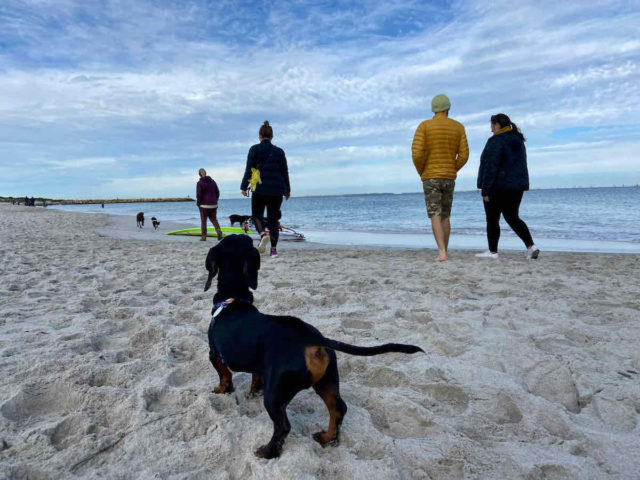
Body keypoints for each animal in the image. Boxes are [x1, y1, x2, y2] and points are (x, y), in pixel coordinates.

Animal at [205, 234, 424, 460]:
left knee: (283, 427)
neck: (233, 301)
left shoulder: (213, 354)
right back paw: (327, 438)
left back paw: (268, 451)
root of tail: (312, 338)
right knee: (338, 409)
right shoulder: (258, 366)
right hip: (326, 381)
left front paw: (222, 389)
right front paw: (251, 392)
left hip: (275, 395)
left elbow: (224, 374)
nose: (248, 234)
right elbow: (254, 378)